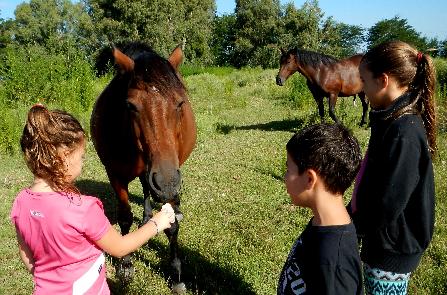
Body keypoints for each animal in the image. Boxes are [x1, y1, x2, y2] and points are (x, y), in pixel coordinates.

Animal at [90, 41, 196, 294]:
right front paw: (126, 264)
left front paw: (176, 275)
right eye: (130, 105)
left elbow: (172, 225)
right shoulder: (115, 175)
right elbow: (125, 218)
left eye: (180, 103)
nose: (166, 183)